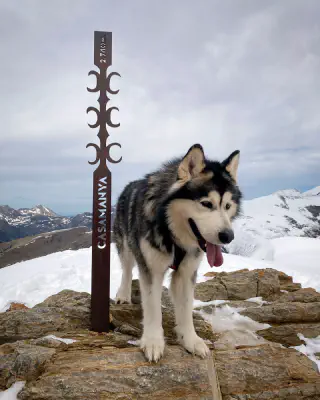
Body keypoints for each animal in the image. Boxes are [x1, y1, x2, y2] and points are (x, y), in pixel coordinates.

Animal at [114, 145, 241, 362]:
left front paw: (191, 340)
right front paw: (153, 342)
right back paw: (123, 294)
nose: (228, 236)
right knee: (127, 269)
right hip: (126, 244)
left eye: (227, 206)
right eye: (206, 204)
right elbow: (153, 307)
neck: (172, 234)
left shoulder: (186, 271)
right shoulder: (152, 270)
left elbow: (186, 308)